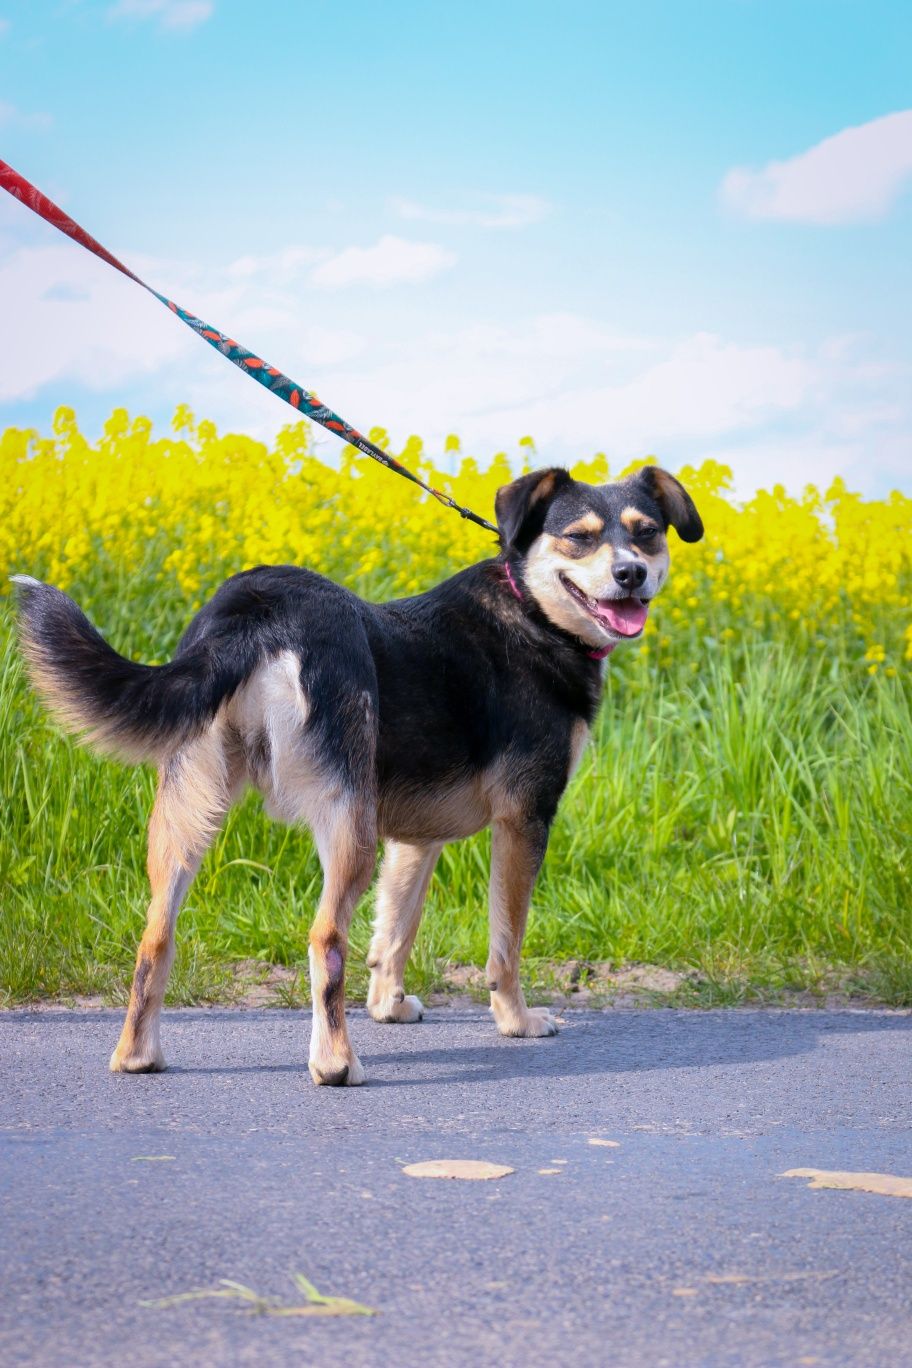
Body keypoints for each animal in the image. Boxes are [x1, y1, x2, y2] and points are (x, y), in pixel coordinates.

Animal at [12, 465, 700, 1083]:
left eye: (646, 533)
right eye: (579, 537)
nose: (631, 574)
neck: (532, 608)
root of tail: (256, 609)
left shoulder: (416, 839)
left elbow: (394, 932)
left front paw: (389, 1006)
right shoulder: (523, 819)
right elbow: (505, 943)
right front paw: (517, 1020)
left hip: (192, 808)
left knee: (155, 937)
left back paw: (137, 1055)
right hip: (348, 826)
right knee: (324, 939)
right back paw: (336, 1063)